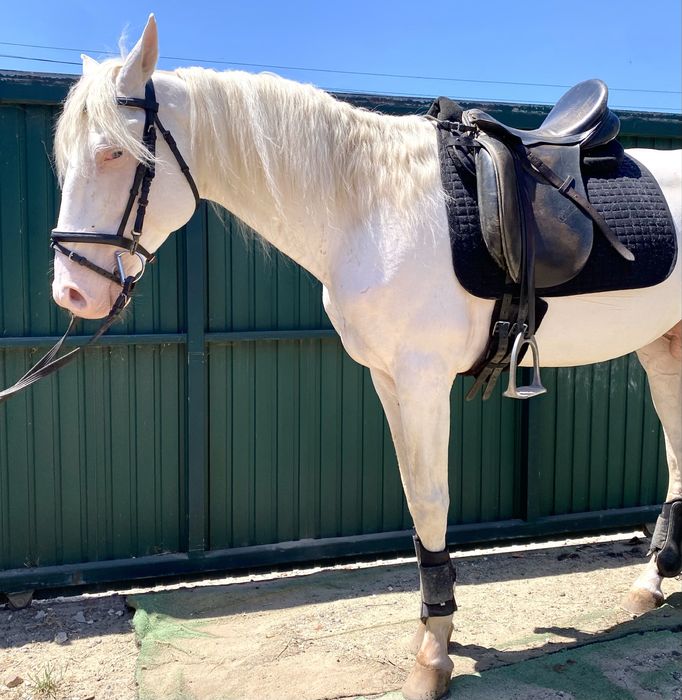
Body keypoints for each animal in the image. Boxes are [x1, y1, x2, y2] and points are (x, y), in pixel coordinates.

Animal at [50, 15, 681, 700]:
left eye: (115, 153)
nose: (72, 292)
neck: (367, 207)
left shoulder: (423, 379)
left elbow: (431, 499)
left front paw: (433, 655)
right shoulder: (387, 378)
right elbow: (412, 496)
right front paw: (432, 634)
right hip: (663, 347)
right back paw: (652, 581)